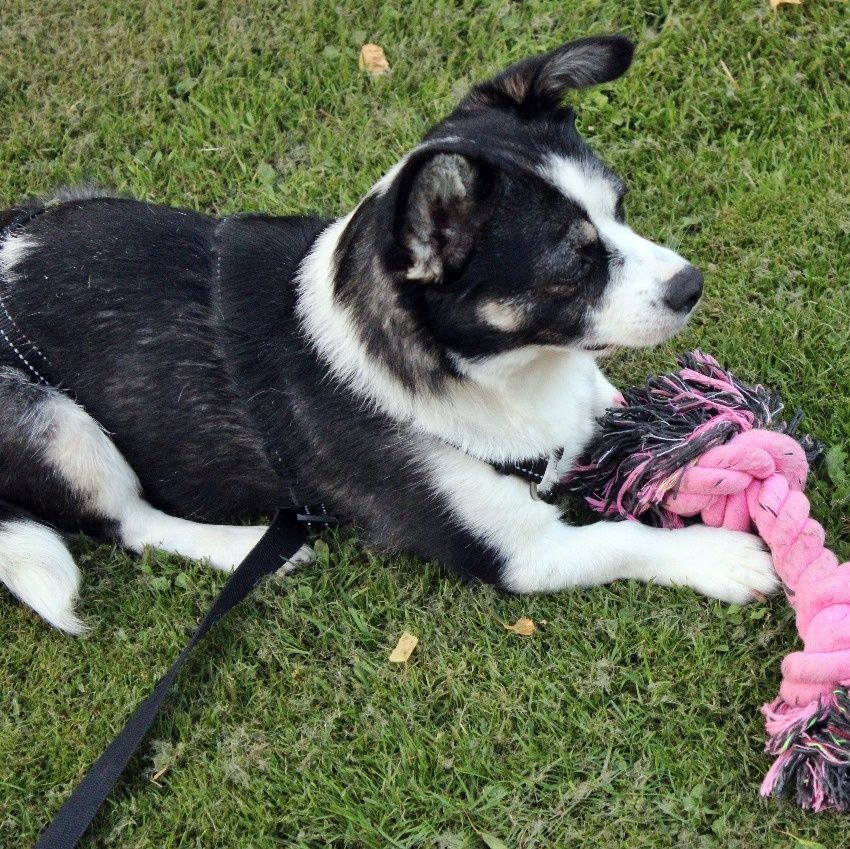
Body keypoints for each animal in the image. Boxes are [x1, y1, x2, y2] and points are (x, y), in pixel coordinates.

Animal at [0, 35, 777, 633]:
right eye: (574, 265)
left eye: (620, 205)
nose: (690, 286)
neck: (502, 372)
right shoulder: (520, 554)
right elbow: (623, 539)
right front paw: (717, 556)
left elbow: (629, 422)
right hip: (54, 424)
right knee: (130, 524)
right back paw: (246, 548)